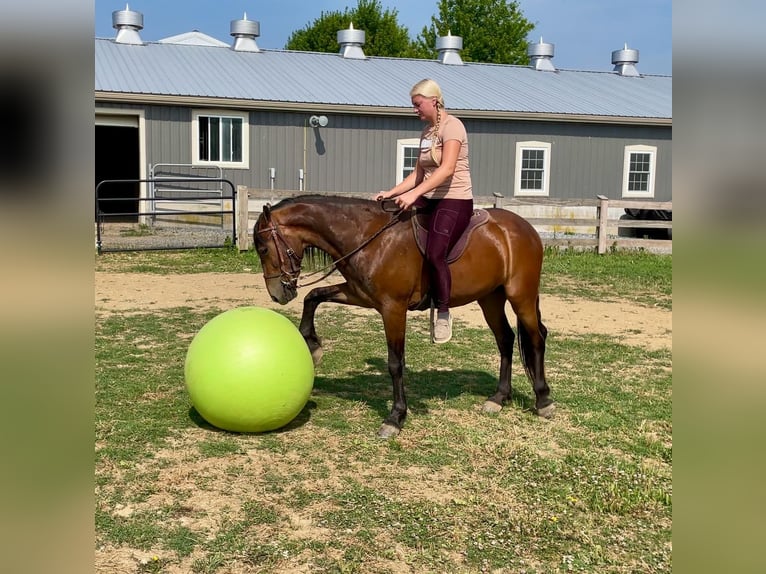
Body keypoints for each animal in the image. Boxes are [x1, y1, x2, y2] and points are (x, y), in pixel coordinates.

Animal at [255, 196, 556, 438]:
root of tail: (526, 229)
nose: (277, 294)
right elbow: (313, 296)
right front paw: (313, 345)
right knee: (505, 339)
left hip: (521, 296)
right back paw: (499, 398)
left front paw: (396, 417)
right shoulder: (360, 295)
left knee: (536, 338)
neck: (369, 236)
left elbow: (395, 363)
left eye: (264, 248)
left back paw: (543, 400)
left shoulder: (393, 308)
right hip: (490, 298)